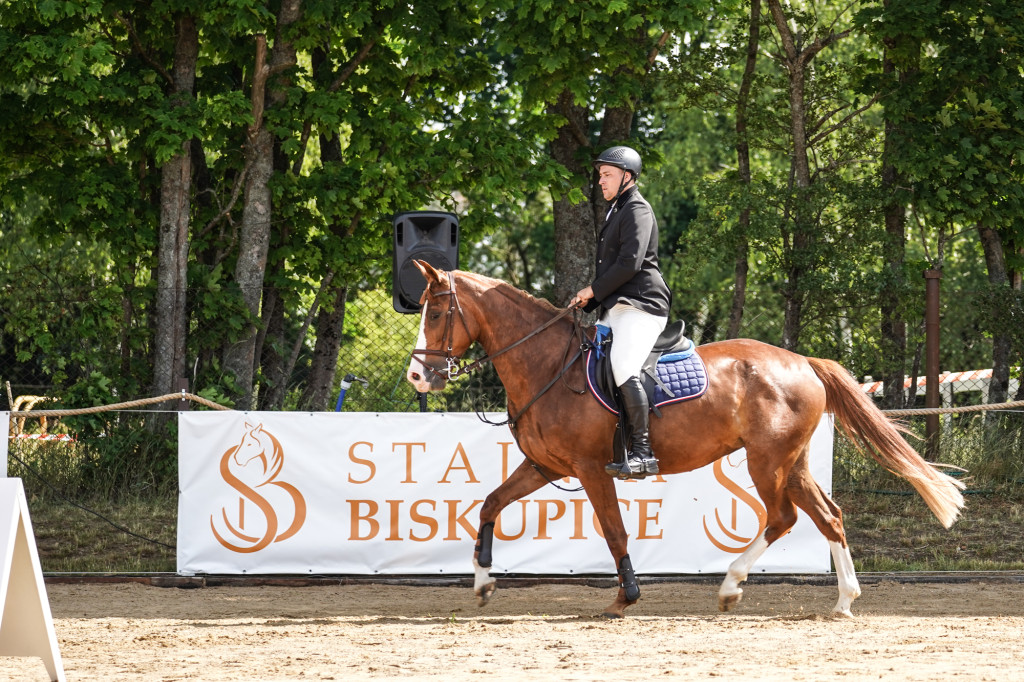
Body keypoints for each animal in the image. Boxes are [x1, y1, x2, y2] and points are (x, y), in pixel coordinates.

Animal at [403, 260, 962, 614]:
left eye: (437, 313)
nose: (417, 377)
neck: (548, 366)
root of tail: (804, 361)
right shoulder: (544, 466)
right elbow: (490, 504)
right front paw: (482, 583)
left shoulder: (590, 469)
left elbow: (614, 531)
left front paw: (625, 597)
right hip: (792, 462)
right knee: (829, 516)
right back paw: (843, 601)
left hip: (767, 461)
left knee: (783, 517)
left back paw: (731, 587)